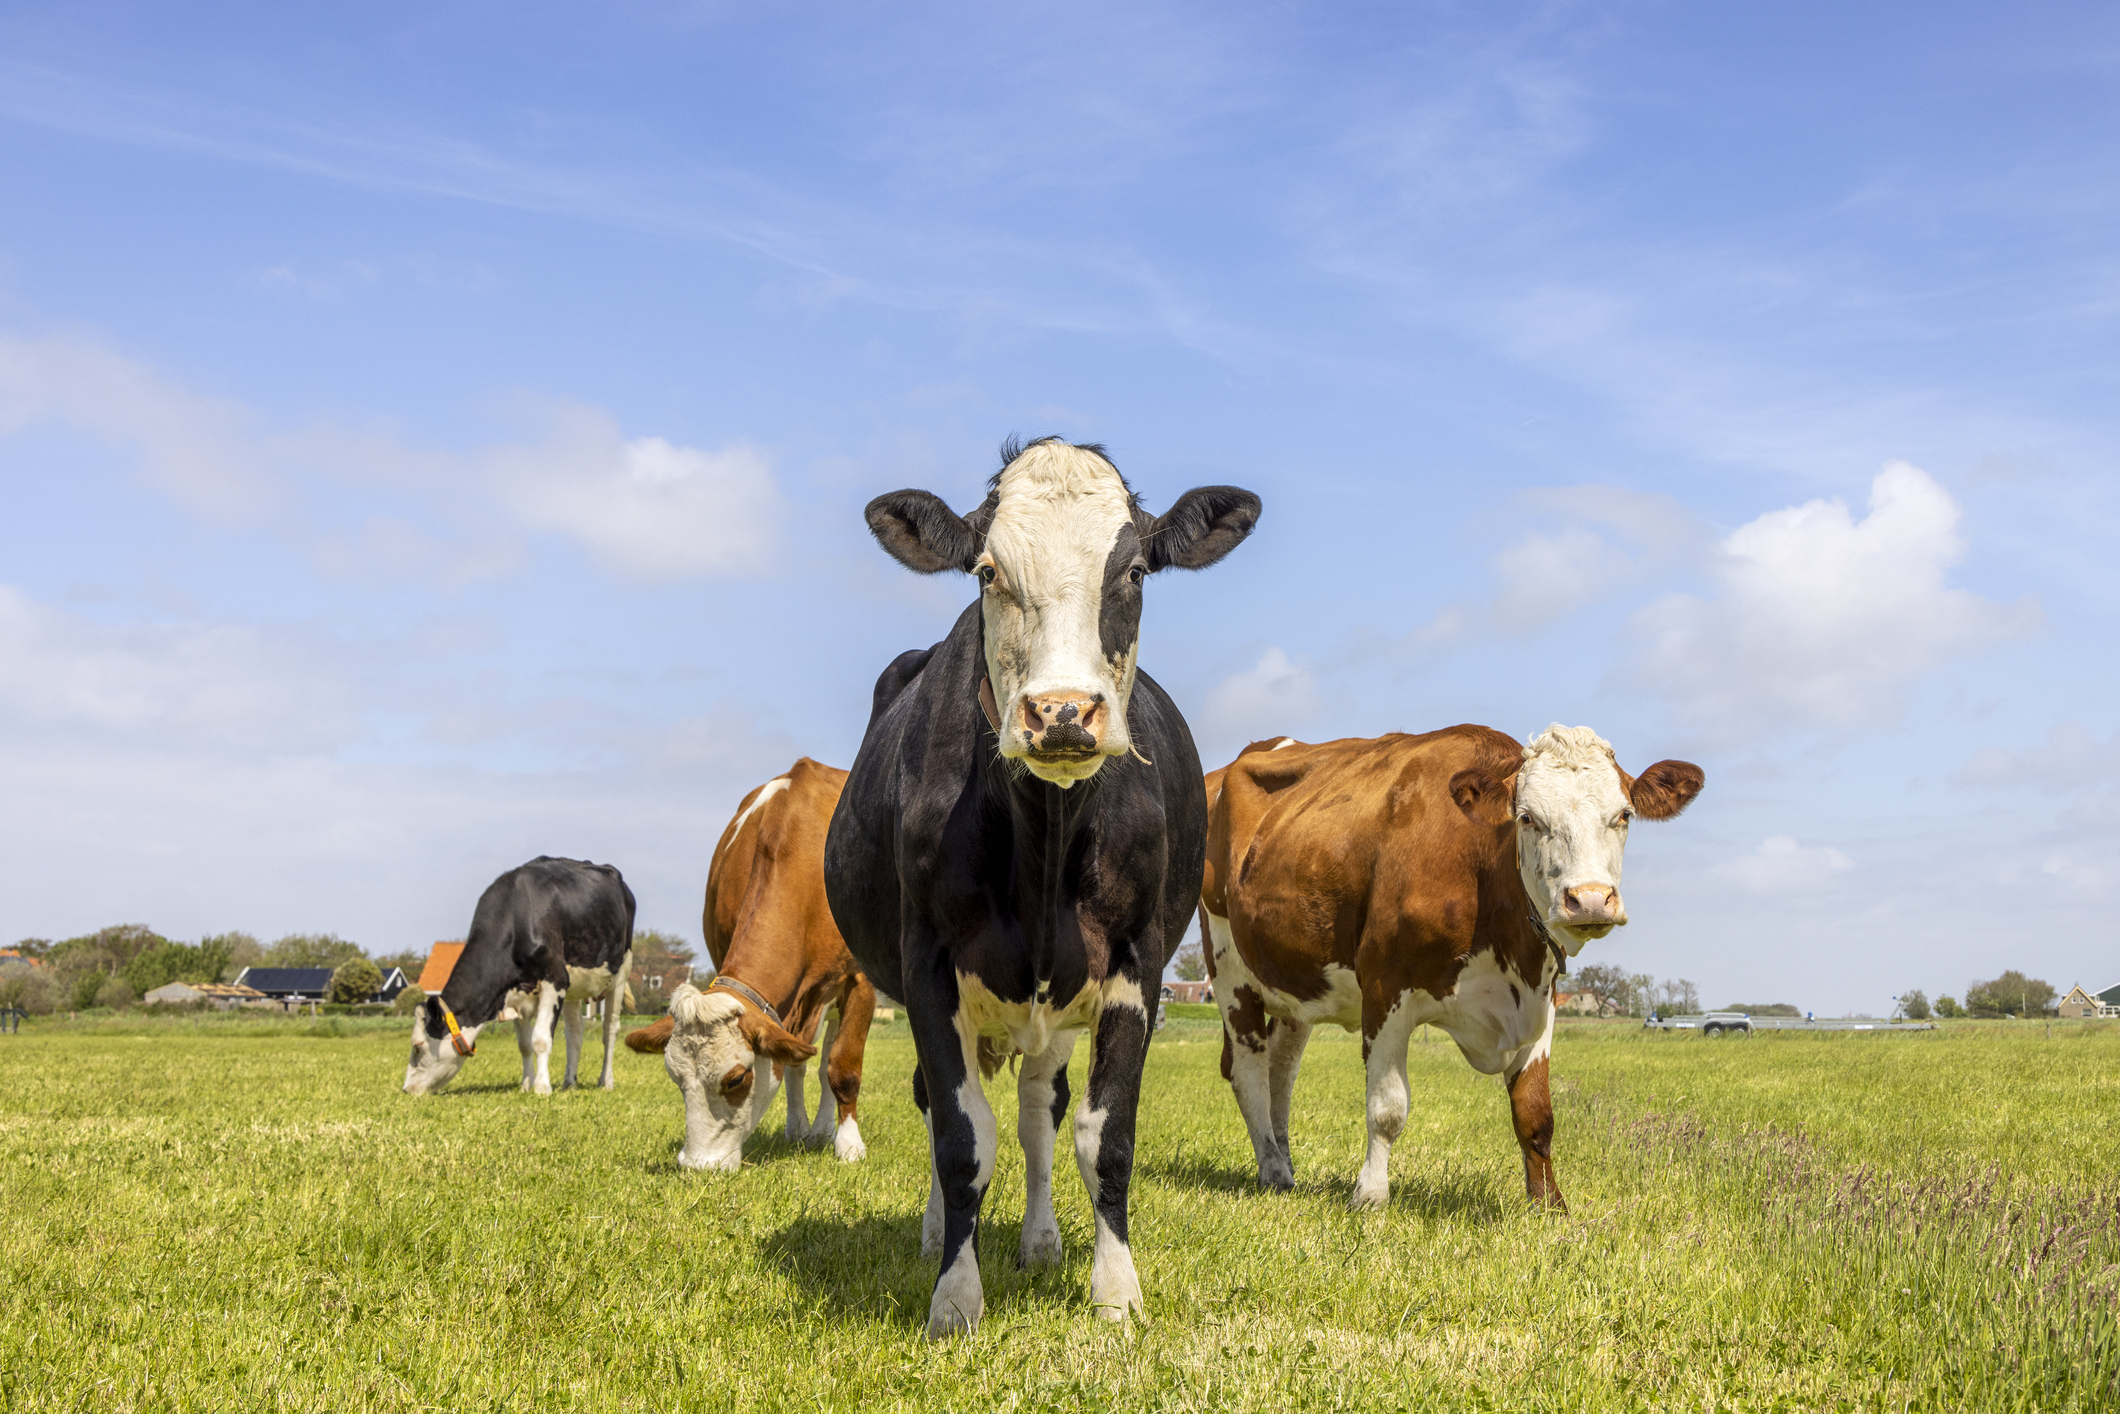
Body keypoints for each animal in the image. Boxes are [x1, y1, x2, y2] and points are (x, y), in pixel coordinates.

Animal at [402, 856, 636, 1096]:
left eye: (418, 1046)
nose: (406, 1089)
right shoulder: (514, 993)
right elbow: (524, 1045)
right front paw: (526, 1084)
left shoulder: (555, 978)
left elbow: (540, 1039)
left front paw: (542, 1087)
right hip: (575, 986)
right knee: (574, 1032)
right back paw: (569, 1082)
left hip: (621, 972)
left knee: (609, 1030)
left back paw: (605, 1081)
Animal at [623, 759, 879, 1170]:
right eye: (677, 1080)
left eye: (735, 1080)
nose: (697, 1165)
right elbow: (792, 1060)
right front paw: (802, 1129)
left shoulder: (860, 981)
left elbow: (843, 1066)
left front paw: (850, 1146)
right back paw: (803, 1129)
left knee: (827, 1058)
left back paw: (827, 1129)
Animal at [825, 435, 1260, 1338]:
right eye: (988, 571)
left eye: (1135, 571)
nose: (1061, 712)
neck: (1047, 841)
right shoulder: (928, 969)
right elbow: (961, 1139)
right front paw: (954, 1298)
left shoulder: (1135, 965)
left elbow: (1104, 1135)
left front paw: (1117, 1292)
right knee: (946, 1108)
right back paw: (936, 1233)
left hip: (1058, 1004)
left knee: (1036, 1112)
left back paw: (1040, 1239)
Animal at [1199, 725, 1703, 1213]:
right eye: (1528, 818)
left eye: (1624, 815)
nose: (1591, 899)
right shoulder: (1385, 986)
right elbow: (1387, 1109)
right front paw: (1370, 1197)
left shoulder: (1541, 999)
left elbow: (1535, 1114)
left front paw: (1548, 1205)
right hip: (1228, 968)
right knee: (1248, 1071)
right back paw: (1272, 1170)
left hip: (1295, 982)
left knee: (1281, 1070)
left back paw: (1285, 1164)